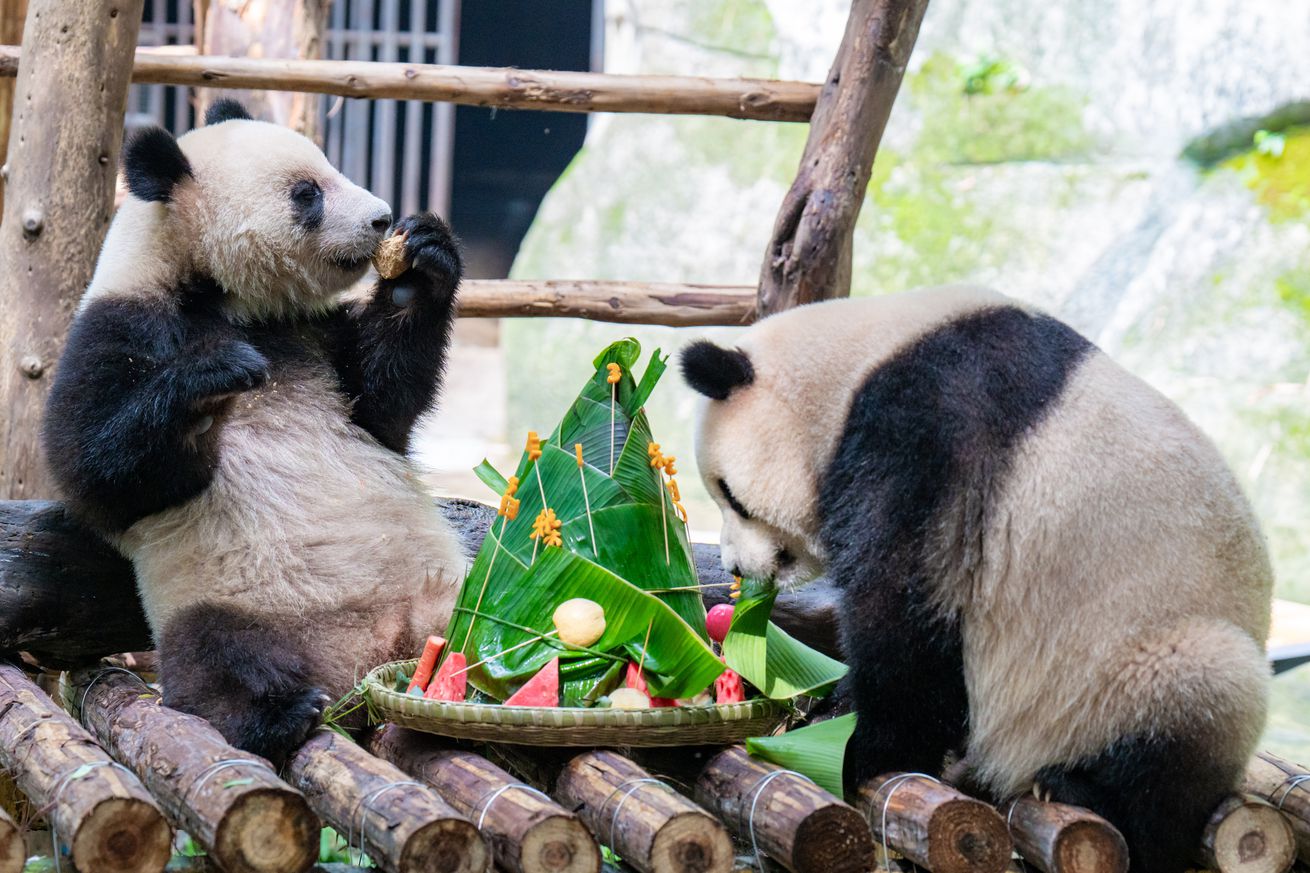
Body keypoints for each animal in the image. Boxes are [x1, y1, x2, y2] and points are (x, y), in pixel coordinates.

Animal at [43, 97, 468, 760]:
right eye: (306, 193)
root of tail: (373, 654)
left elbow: (383, 410)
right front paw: (213, 376)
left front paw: (421, 262)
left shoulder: (313, 331)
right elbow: (93, 473)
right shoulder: (119, 325)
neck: (222, 297)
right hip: (229, 600)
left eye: (331, 167)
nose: (382, 218)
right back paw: (282, 710)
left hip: (449, 591)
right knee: (217, 656)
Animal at [681, 285, 1273, 870]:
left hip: (1134, 671)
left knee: (1183, 722)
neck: (853, 365)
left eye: (730, 494)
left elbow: (905, 594)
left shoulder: (931, 424)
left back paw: (1079, 788)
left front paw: (856, 741)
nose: (736, 567)